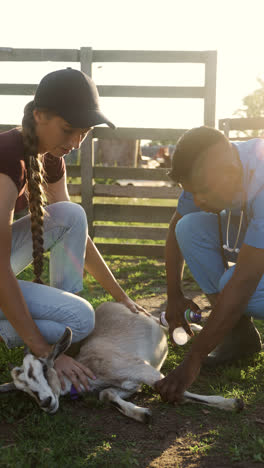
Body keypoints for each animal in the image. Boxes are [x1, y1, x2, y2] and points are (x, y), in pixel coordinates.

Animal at [0, 302, 243, 422]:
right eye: (22, 390)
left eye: (43, 367)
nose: (45, 402)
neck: (92, 368)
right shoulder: (127, 385)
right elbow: (106, 394)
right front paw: (141, 414)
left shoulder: (142, 369)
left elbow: (170, 388)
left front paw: (232, 403)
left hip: (153, 321)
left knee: (169, 325)